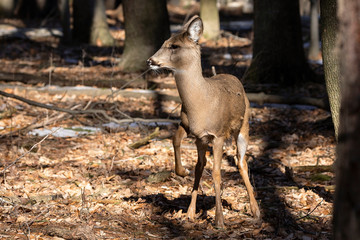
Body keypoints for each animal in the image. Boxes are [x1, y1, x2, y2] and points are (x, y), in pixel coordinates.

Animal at [148, 15, 260, 229]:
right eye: (164, 43)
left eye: (174, 46)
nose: (150, 60)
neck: (200, 105)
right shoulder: (189, 127)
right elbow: (176, 141)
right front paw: (182, 171)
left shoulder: (218, 134)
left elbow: (216, 172)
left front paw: (219, 220)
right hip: (202, 140)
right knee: (201, 164)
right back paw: (191, 212)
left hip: (243, 127)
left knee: (241, 161)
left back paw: (255, 210)